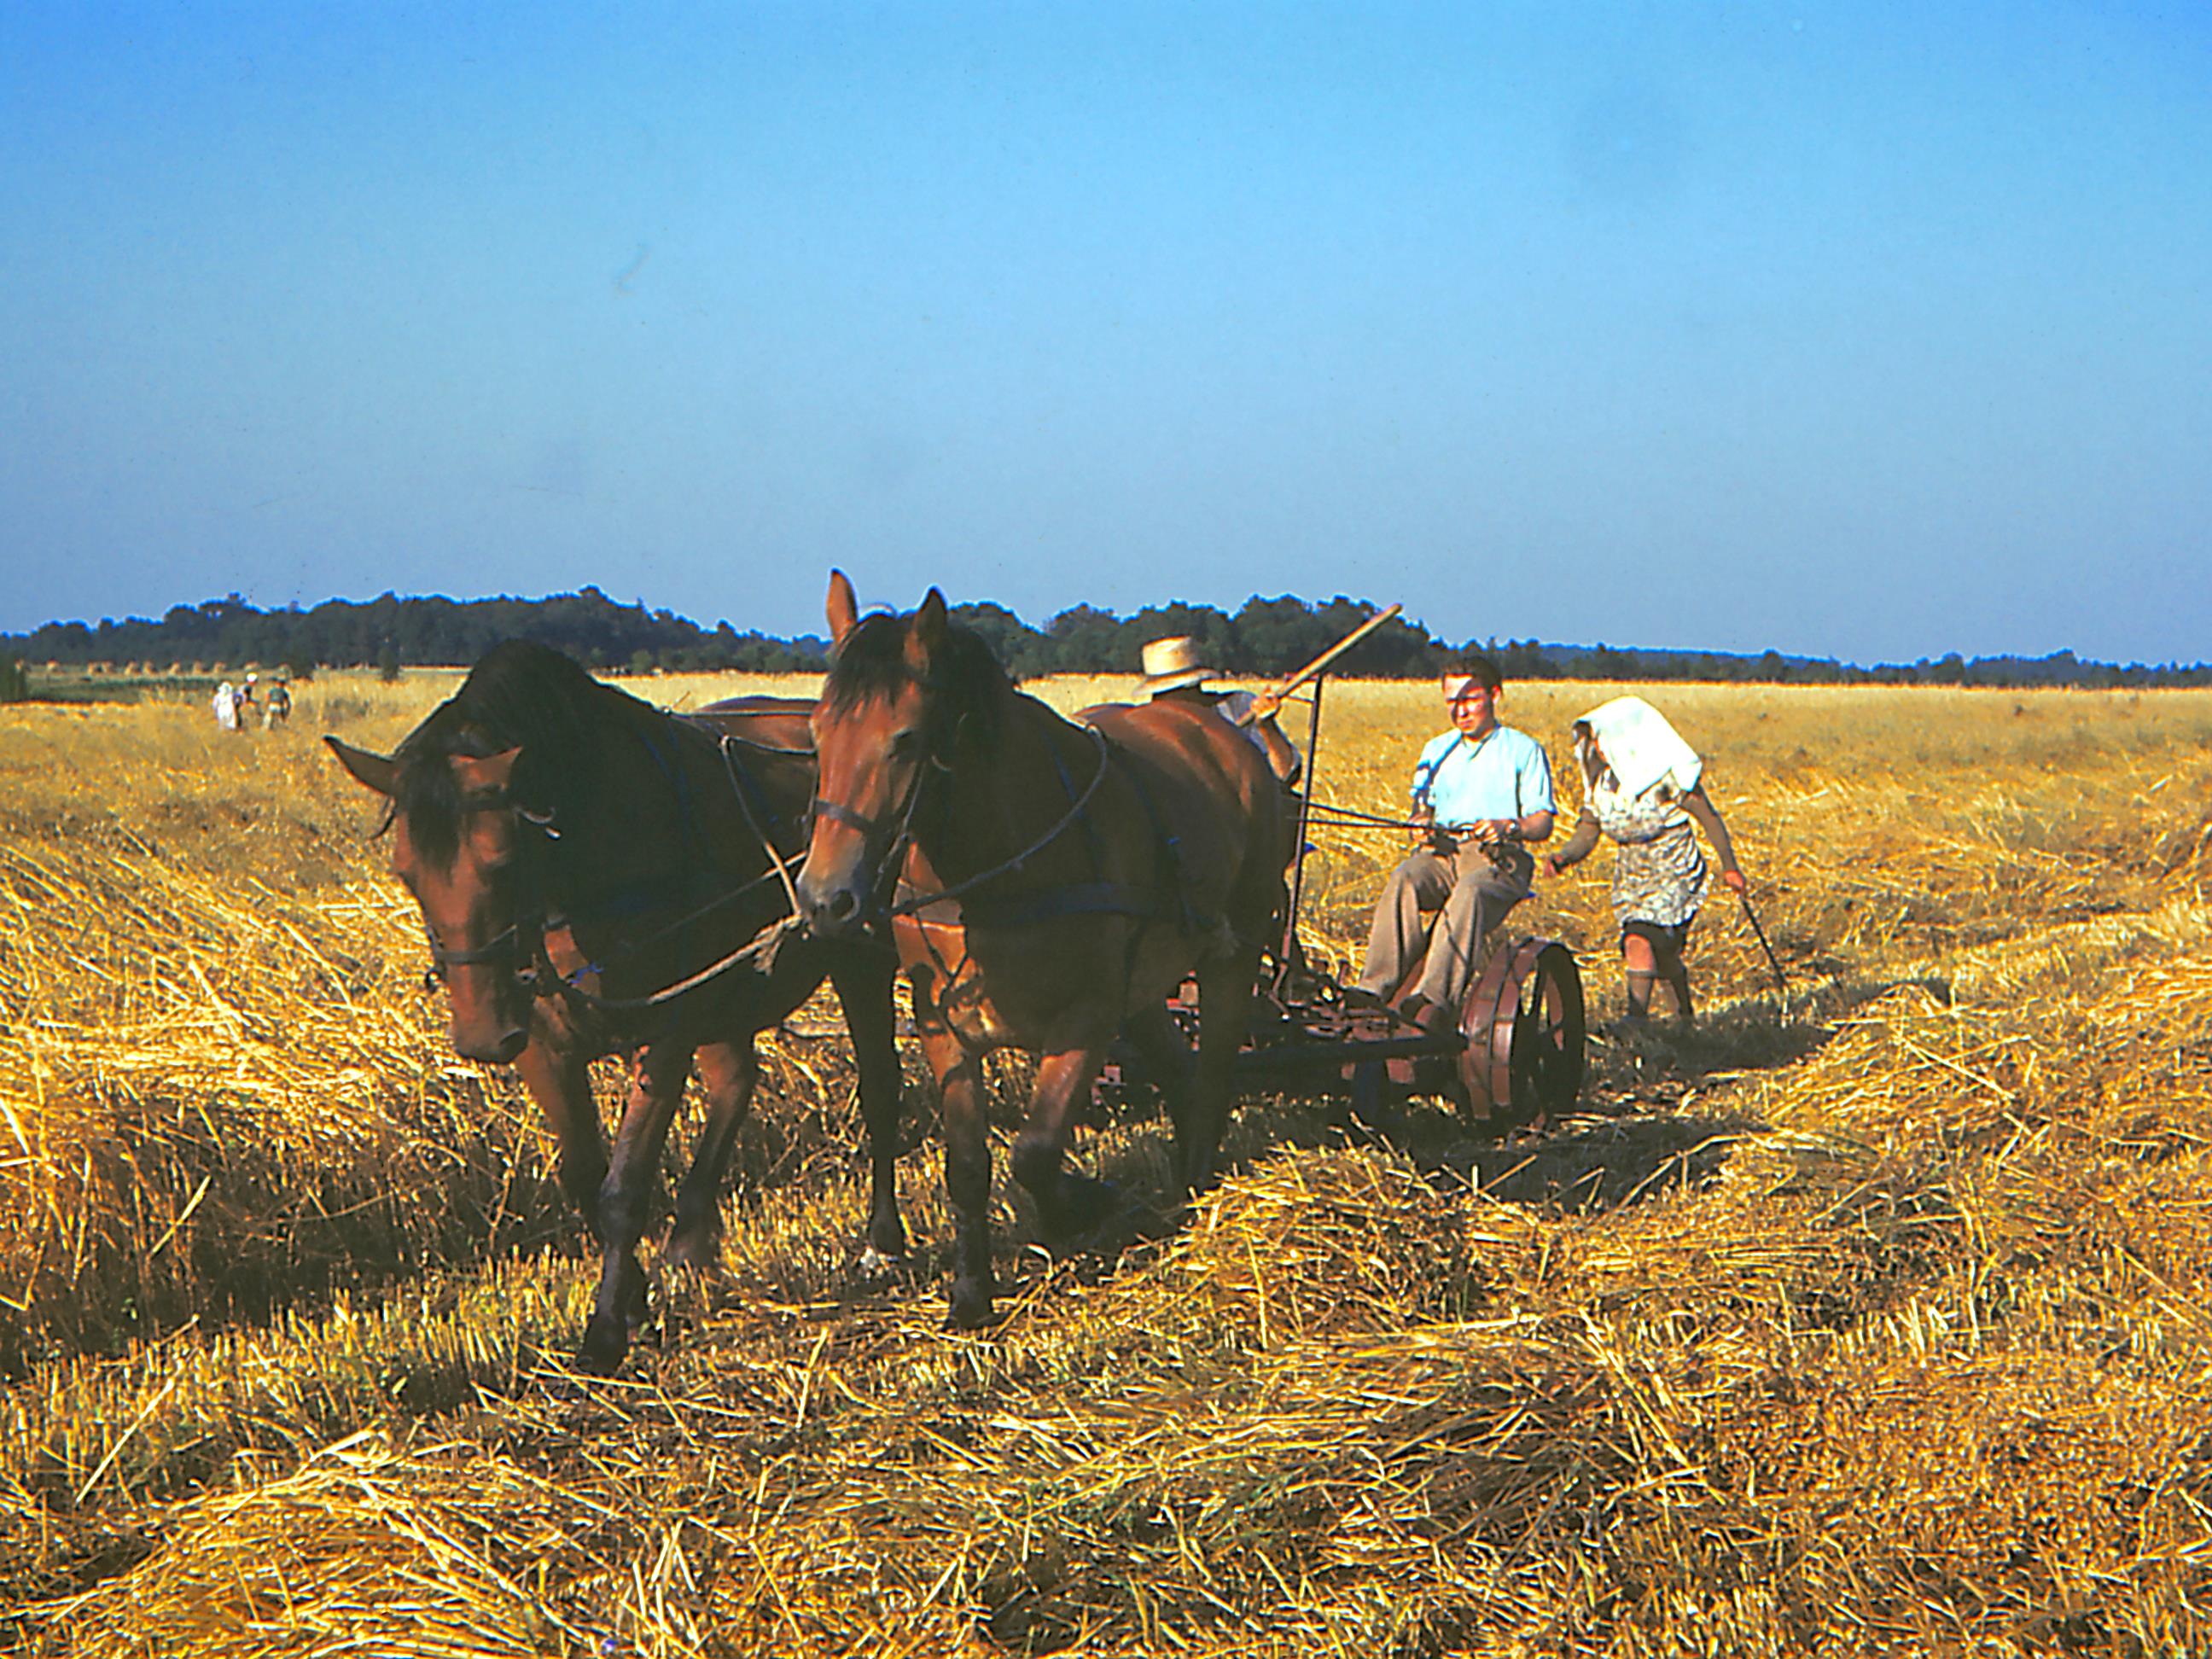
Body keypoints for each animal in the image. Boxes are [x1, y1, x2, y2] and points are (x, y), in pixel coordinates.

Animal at [323, 641, 906, 1371]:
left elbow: (625, 1187)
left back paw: (880, 1242)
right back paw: (690, 1241)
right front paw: (633, 1303)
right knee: (735, 1081)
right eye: (407, 871)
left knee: (879, 1087)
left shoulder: (668, 1031)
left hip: (860, 952)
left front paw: (604, 1332)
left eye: (502, 859)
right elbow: (584, 1180)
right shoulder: (546, 1046)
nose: (484, 1035)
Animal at [796, 579, 1291, 1336]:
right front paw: (971, 1294)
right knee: (1180, 1073)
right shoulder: (941, 1022)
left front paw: (1085, 1205)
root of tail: (1220, 738)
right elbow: (968, 1164)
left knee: (1210, 1073)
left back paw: (1198, 1184)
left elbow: (1033, 1153)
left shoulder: (1086, 1018)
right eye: (820, 734)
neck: (998, 863)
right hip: (1142, 988)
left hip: (1231, 953)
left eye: (905, 739)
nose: (827, 899)